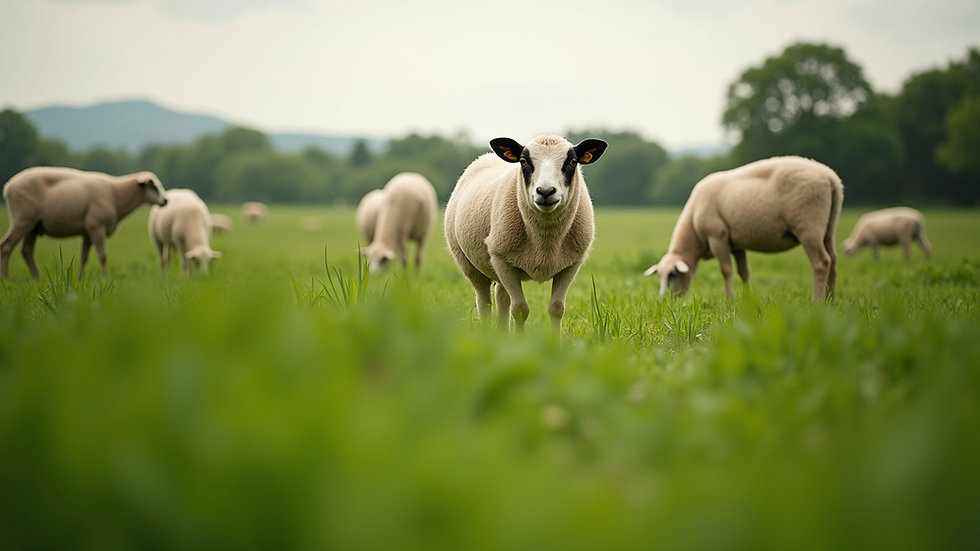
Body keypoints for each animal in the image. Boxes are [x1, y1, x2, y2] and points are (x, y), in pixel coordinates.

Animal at [1, 166, 168, 279]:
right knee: (6, 247)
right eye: (153, 186)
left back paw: (38, 278)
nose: (165, 201)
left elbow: (84, 257)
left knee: (26, 251)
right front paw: (105, 278)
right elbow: (103, 256)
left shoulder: (88, 231)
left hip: (33, 226)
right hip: (23, 220)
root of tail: (8, 186)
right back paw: (6, 279)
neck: (116, 195)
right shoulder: (97, 227)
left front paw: (79, 279)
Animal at [444, 135, 607, 333]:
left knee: (501, 297)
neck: (545, 241)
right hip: (470, 265)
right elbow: (520, 309)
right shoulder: (502, 261)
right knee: (484, 304)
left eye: (573, 162)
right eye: (523, 161)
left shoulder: (571, 265)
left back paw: (502, 334)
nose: (545, 191)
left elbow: (557, 308)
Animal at [643, 156, 844, 301]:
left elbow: (726, 270)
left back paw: (817, 301)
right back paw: (831, 300)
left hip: (808, 225)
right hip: (828, 228)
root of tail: (830, 177)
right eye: (659, 276)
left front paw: (729, 299)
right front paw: (747, 299)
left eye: (672, 275)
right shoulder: (736, 244)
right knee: (833, 260)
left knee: (821, 262)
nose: (664, 300)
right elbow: (744, 272)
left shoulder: (718, 237)